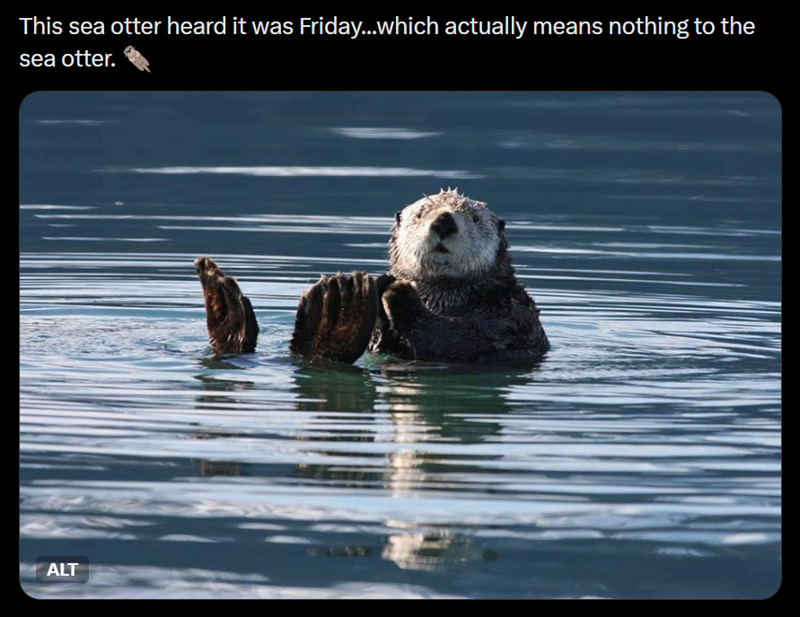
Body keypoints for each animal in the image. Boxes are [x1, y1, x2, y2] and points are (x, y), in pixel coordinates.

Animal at [195, 189, 549, 363]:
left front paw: (398, 291)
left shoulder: (511, 316)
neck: (442, 298)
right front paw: (386, 283)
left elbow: (464, 341)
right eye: (421, 214)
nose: (444, 221)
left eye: (474, 218)